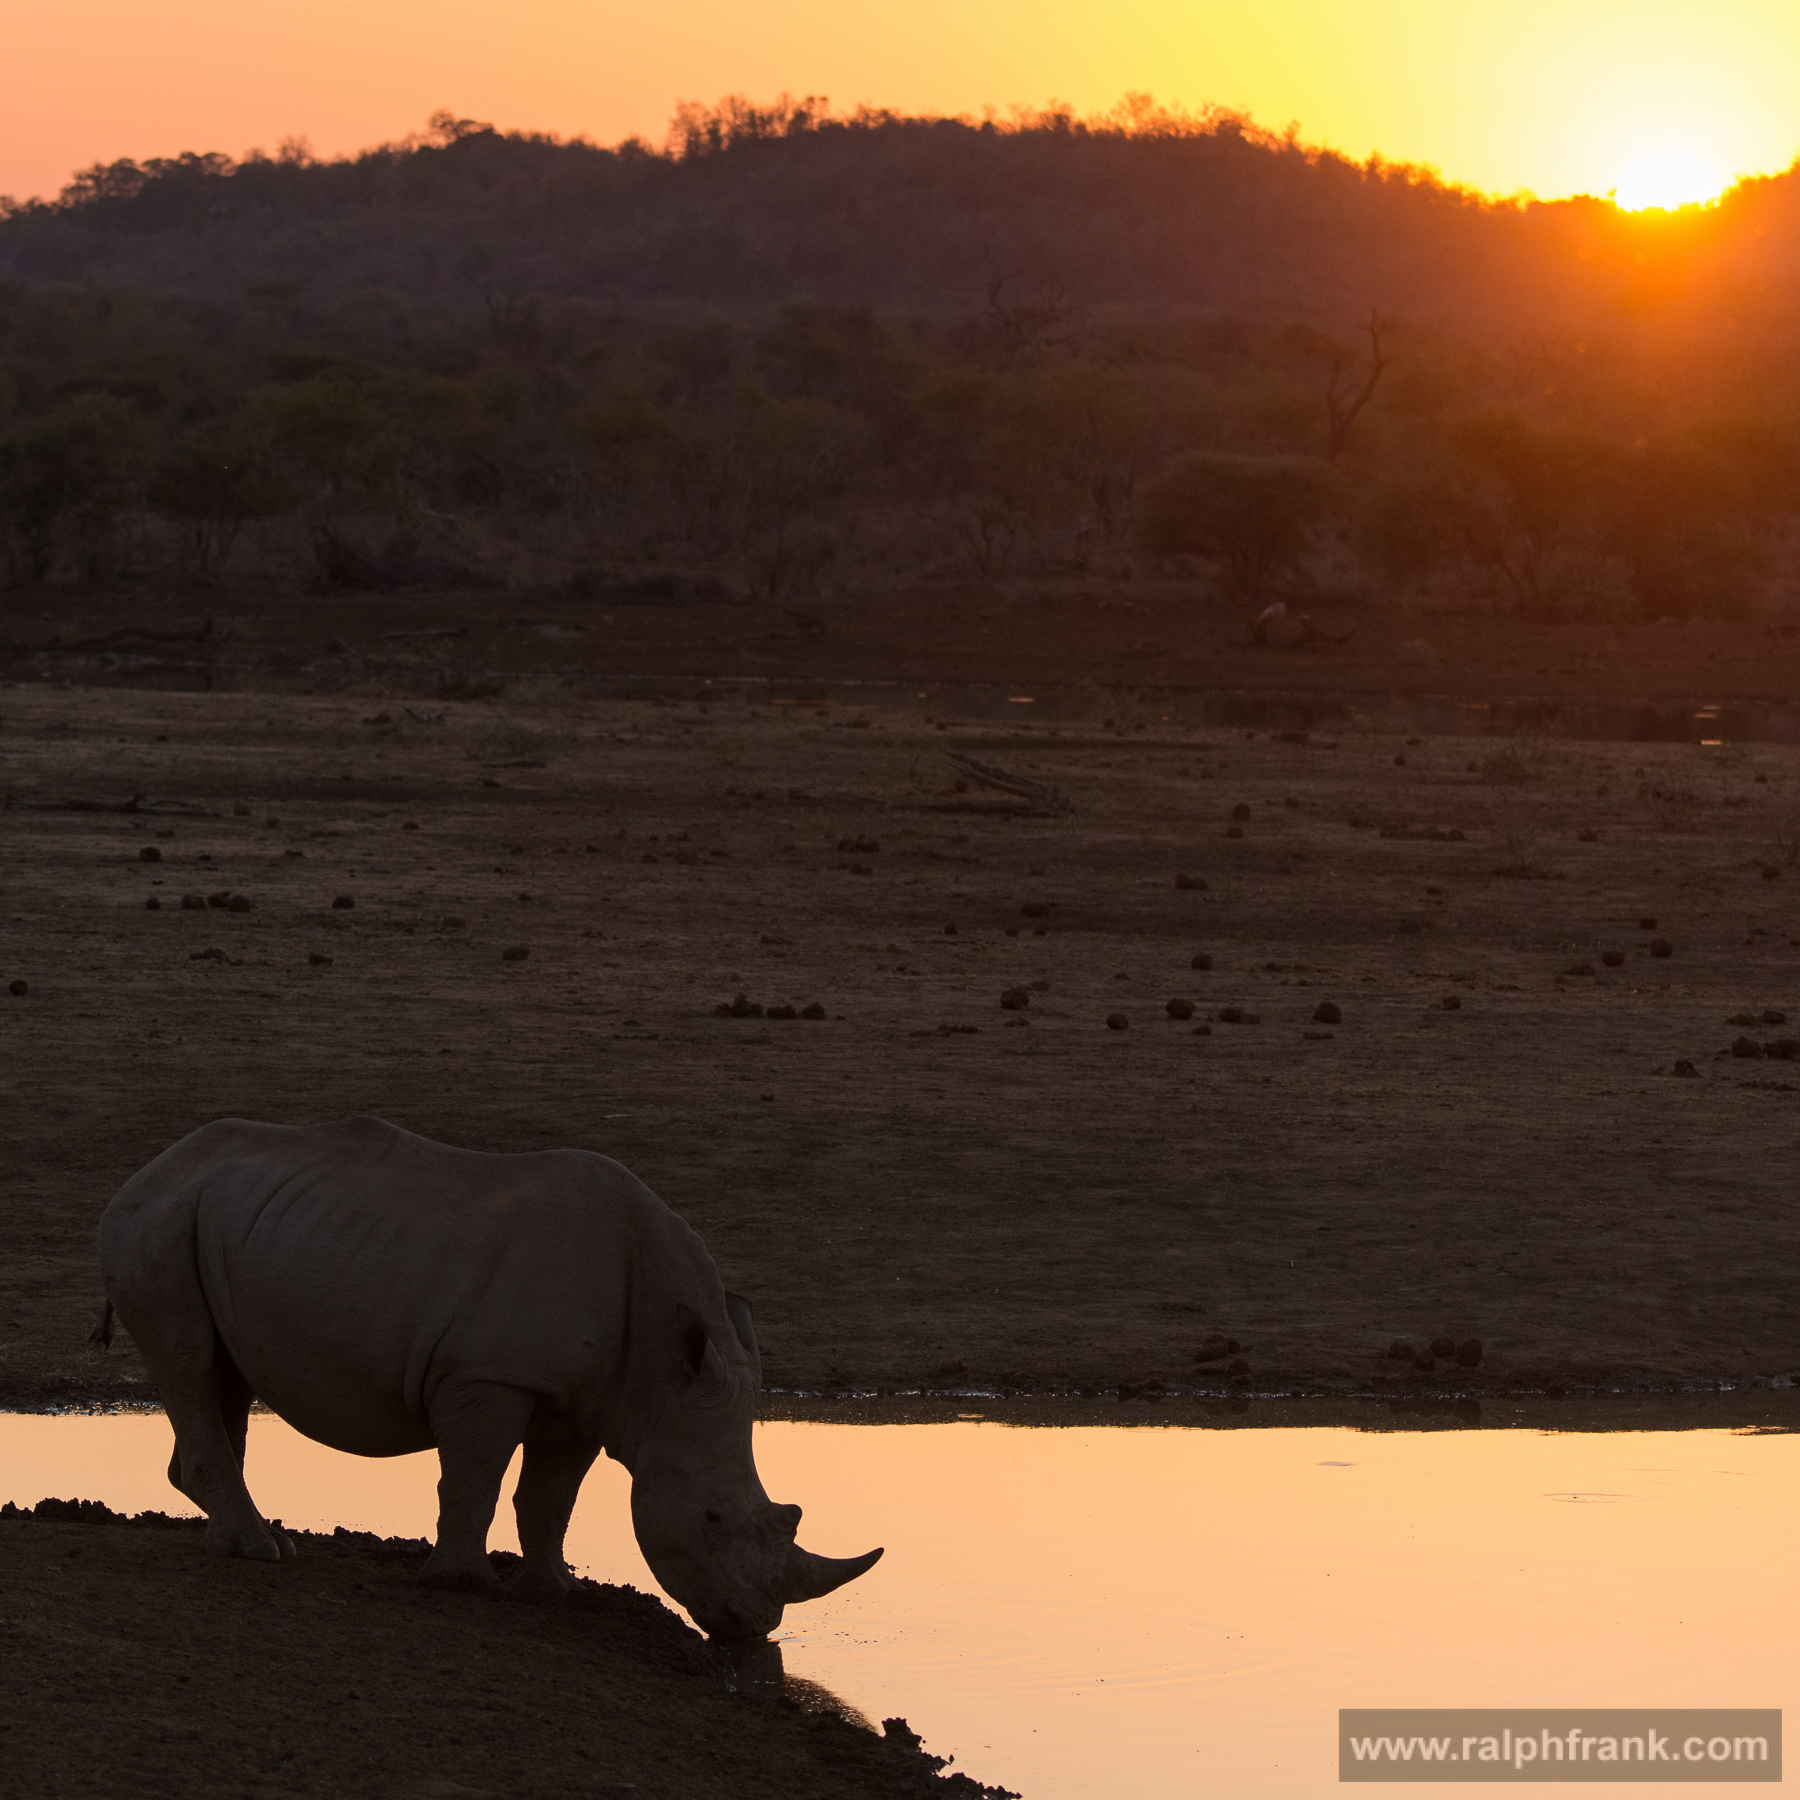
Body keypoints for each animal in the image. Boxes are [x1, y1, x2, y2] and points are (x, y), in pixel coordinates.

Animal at [90, 1116, 881, 1638]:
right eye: (713, 1518)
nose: (754, 1625)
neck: (665, 1369)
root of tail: (147, 1170)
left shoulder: (588, 1398)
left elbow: (550, 1497)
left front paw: (553, 1593)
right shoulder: (490, 1375)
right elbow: (477, 1477)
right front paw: (464, 1586)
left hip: (227, 1222)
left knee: (225, 1376)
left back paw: (245, 1537)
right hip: (154, 1222)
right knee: (189, 1361)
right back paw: (260, 1551)